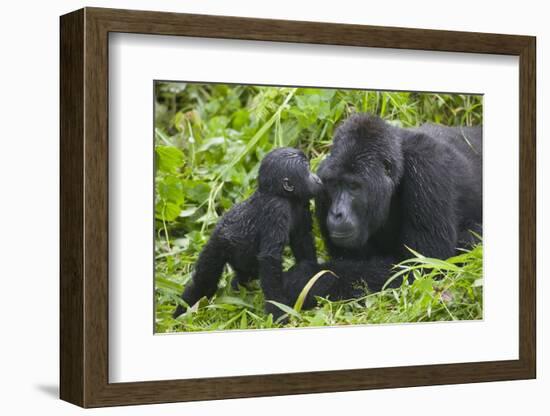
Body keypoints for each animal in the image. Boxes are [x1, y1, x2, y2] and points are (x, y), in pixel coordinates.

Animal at [174, 148, 324, 320]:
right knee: (204, 281)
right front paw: (278, 310)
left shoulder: (302, 202)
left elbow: (302, 239)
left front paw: (312, 277)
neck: (282, 194)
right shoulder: (276, 209)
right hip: (217, 244)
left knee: (244, 274)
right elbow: (270, 258)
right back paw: (182, 312)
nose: (316, 178)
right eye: (307, 170)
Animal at [284, 112, 484, 308]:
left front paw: (303, 279)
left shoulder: (428, 167)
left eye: (353, 186)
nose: (336, 213)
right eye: (334, 185)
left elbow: (422, 266)